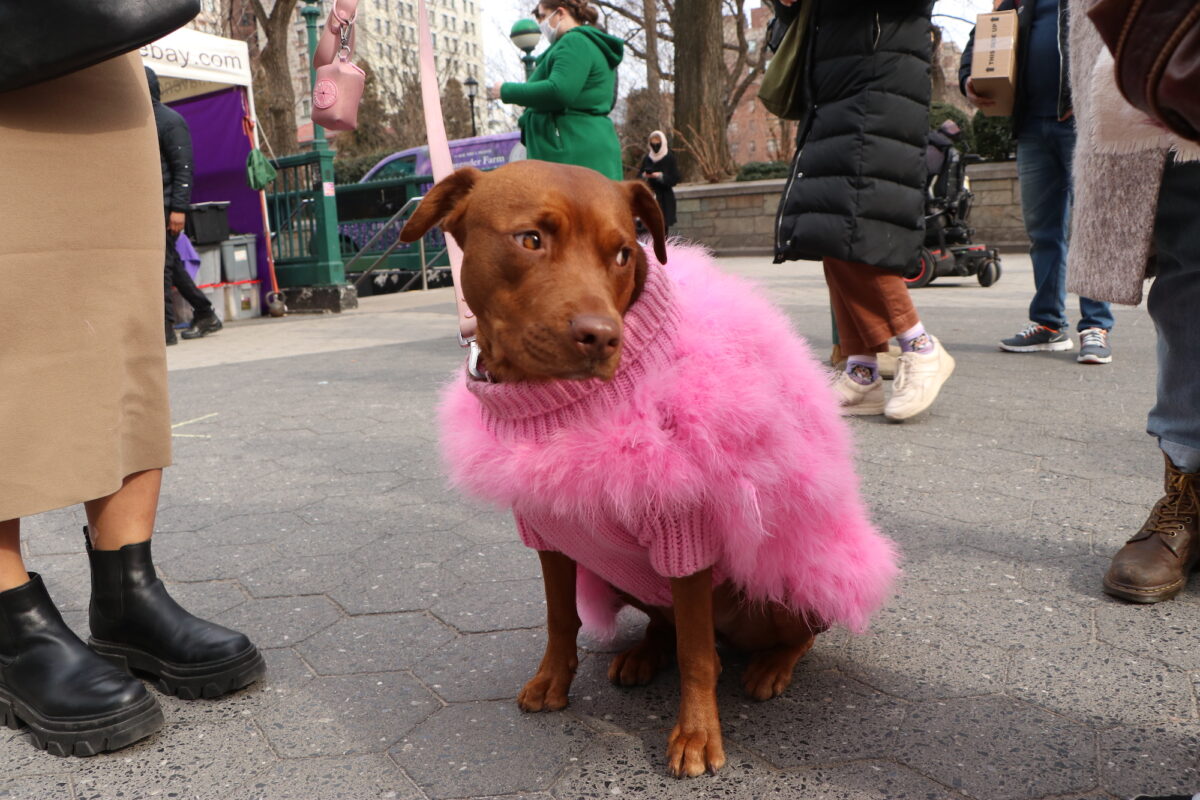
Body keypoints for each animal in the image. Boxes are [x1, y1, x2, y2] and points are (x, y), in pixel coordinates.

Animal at [398, 159, 820, 777]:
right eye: (530, 239)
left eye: (623, 253)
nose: (601, 337)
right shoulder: (549, 530)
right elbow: (560, 617)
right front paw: (553, 678)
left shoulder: (683, 534)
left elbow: (697, 655)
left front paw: (697, 732)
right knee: (669, 623)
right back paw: (644, 653)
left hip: (775, 594)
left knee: (786, 633)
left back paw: (772, 664)